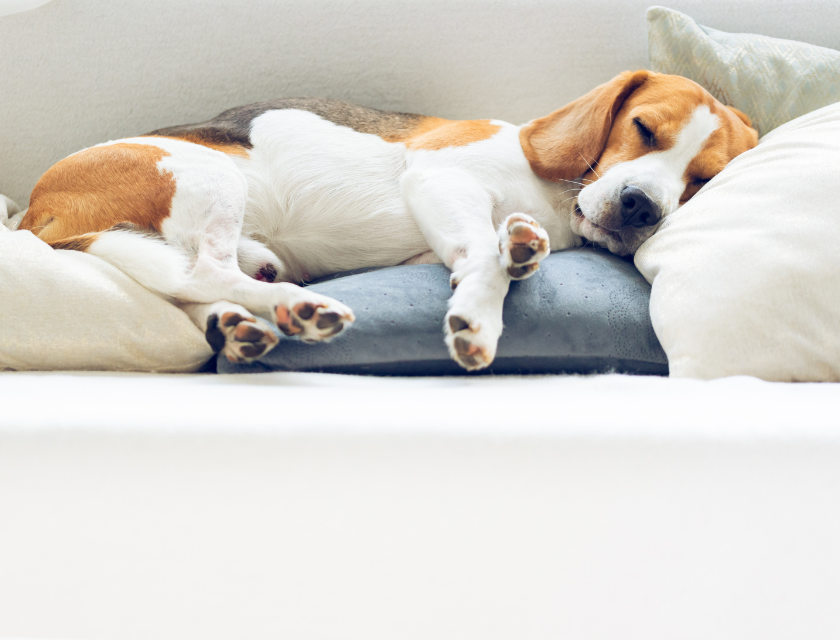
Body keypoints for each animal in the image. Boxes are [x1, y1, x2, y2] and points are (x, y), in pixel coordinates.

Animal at [8, 70, 756, 370]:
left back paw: (246, 327)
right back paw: (302, 308)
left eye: (703, 180)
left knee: (194, 286)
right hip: (208, 176)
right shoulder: (438, 177)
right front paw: (478, 317)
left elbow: (489, 246)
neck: (555, 195)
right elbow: (483, 260)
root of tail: (39, 214)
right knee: (204, 271)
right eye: (643, 128)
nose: (641, 207)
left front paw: (520, 244)